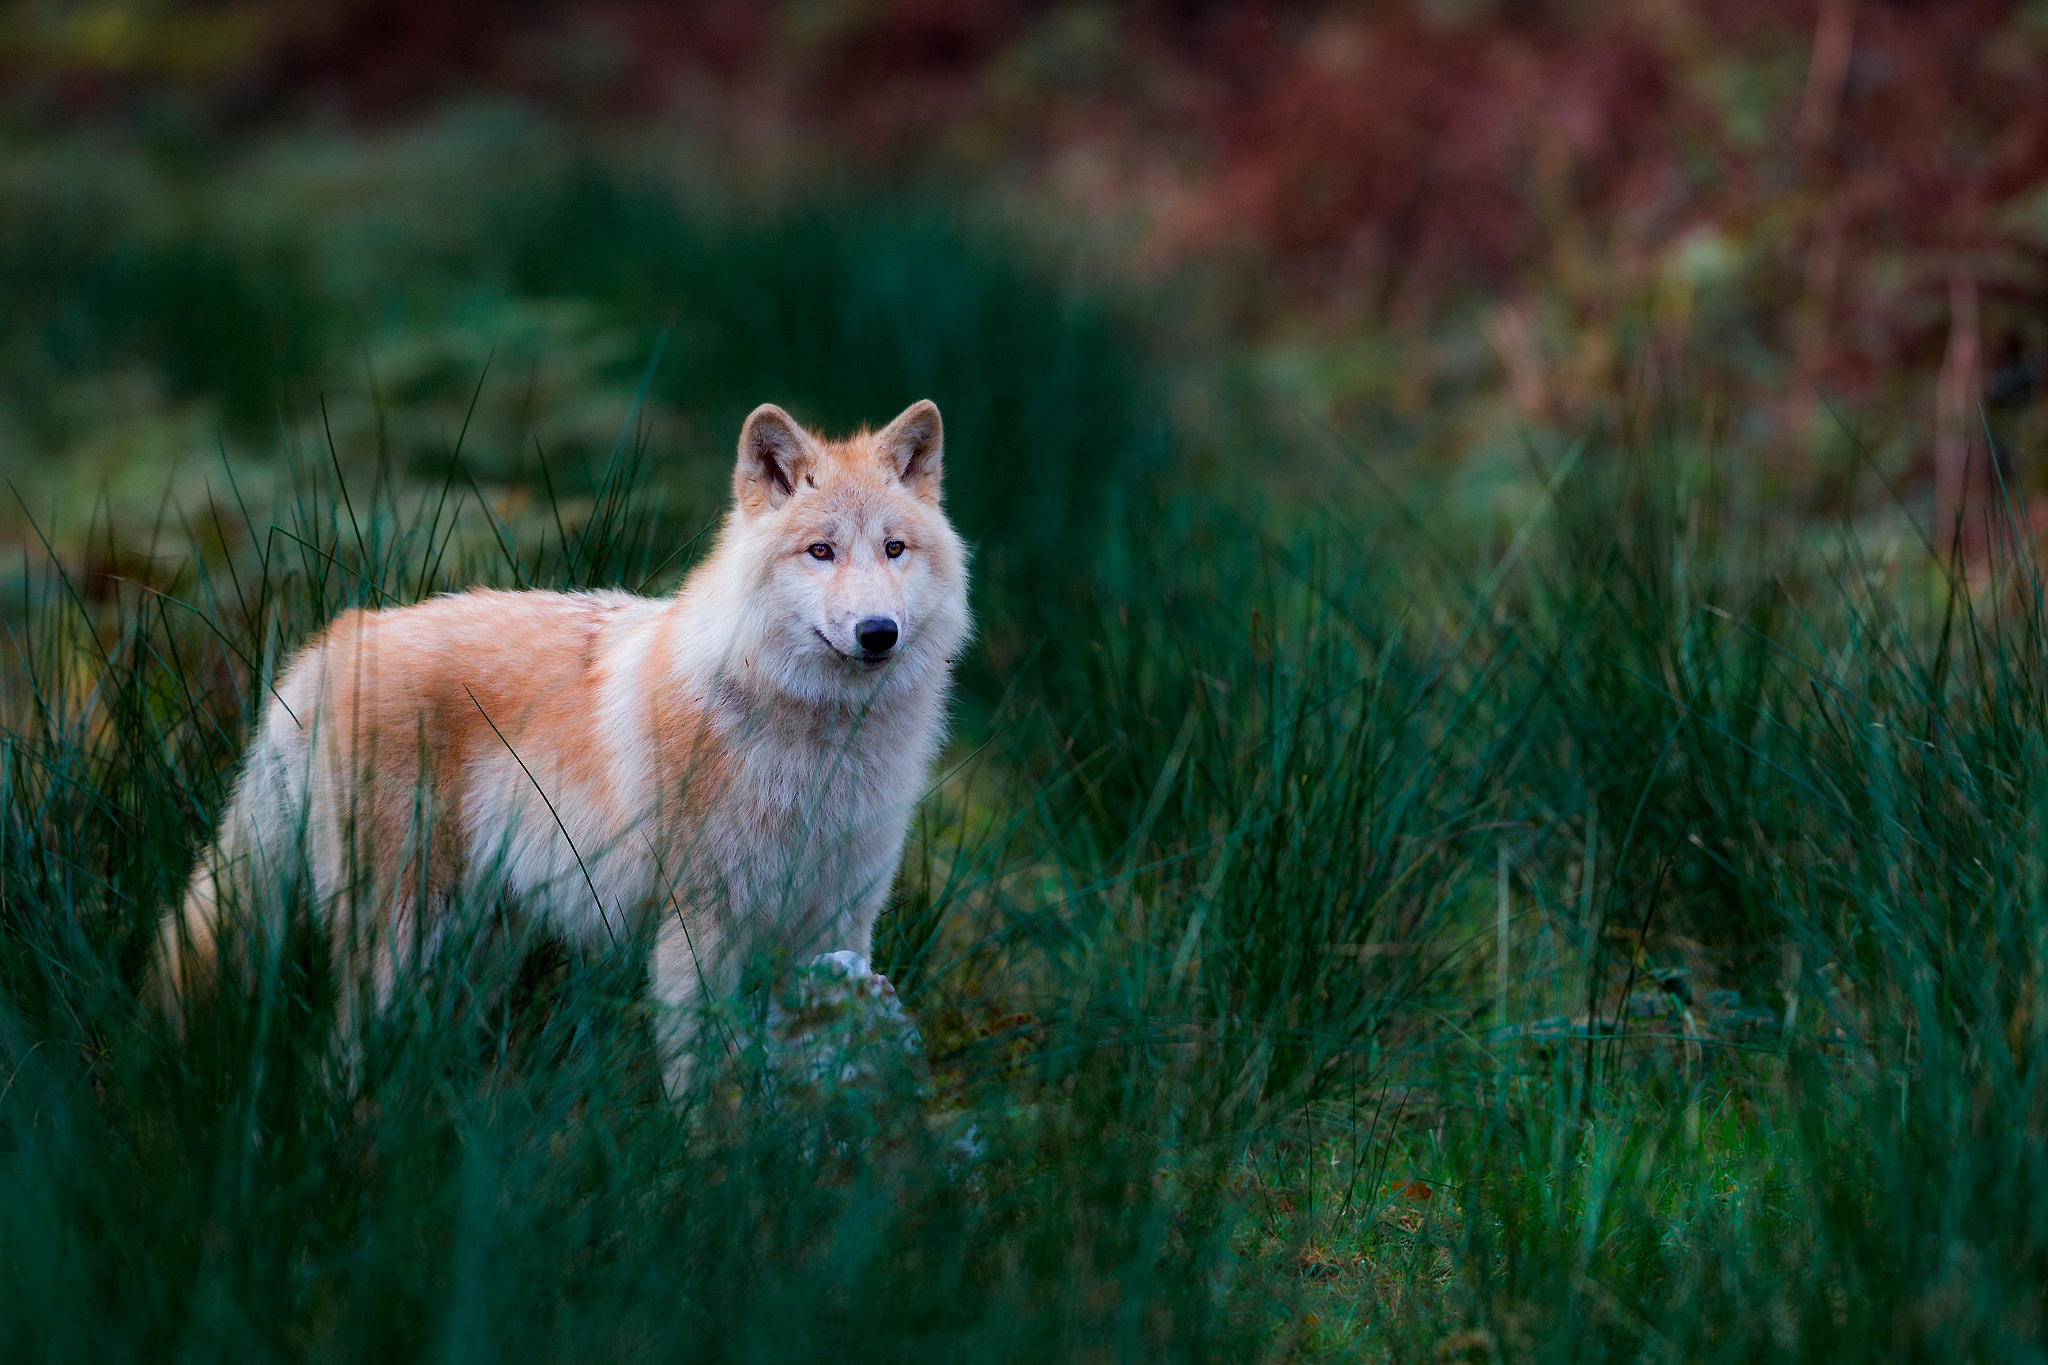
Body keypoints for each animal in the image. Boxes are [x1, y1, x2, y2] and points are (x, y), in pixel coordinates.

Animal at [155, 397, 970, 1088]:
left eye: (894, 549)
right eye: (821, 551)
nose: (877, 632)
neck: (818, 750)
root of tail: (333, 642)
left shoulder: (838, 933)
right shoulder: (698, 929)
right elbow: (700, 1078)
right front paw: (706, 1157)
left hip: (473, 951)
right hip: (399, 939)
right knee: (336, 1058)